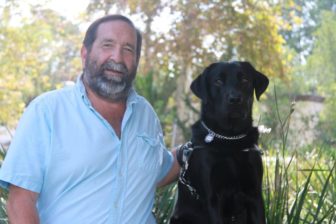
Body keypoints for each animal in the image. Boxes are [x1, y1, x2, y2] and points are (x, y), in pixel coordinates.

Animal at [169, 61, 270, 224]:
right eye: (218, 81)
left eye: (244, 80)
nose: (235, 99)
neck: (229, 139)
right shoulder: (213, 198)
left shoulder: (254, 194)